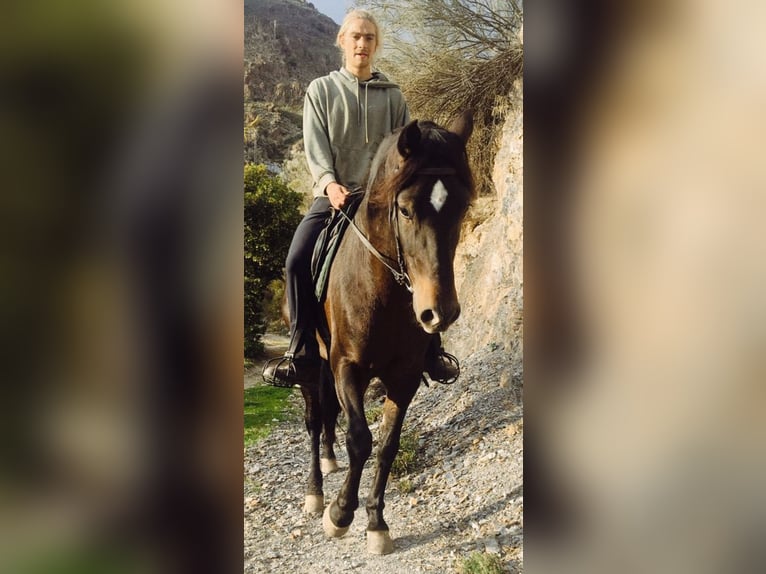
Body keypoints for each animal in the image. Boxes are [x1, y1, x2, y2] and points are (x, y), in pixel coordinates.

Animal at [300, 111, 475, 555]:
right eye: (406, 210)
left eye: (462, 207)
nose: (439, 312)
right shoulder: (348, 367)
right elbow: (360, 439)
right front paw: (340, 514)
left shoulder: (405, 375)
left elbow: (387, 444)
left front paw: (377, 523)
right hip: (312, 367)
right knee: (314, 421)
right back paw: (315, 492)